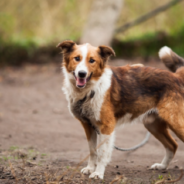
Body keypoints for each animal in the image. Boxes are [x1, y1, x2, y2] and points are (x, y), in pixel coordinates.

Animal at [57, 40, 184, 180]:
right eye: (77, 58)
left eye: (92, 60)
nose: (82, 74)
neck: (91, 90)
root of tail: (176, 76)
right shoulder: (88, 126)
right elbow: (93, 150)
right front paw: (90, 168)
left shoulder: (106, 127)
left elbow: (102, 153)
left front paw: (98, 173)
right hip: (153, 125)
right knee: (173, 145)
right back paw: (162, 166)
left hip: (175, 122)